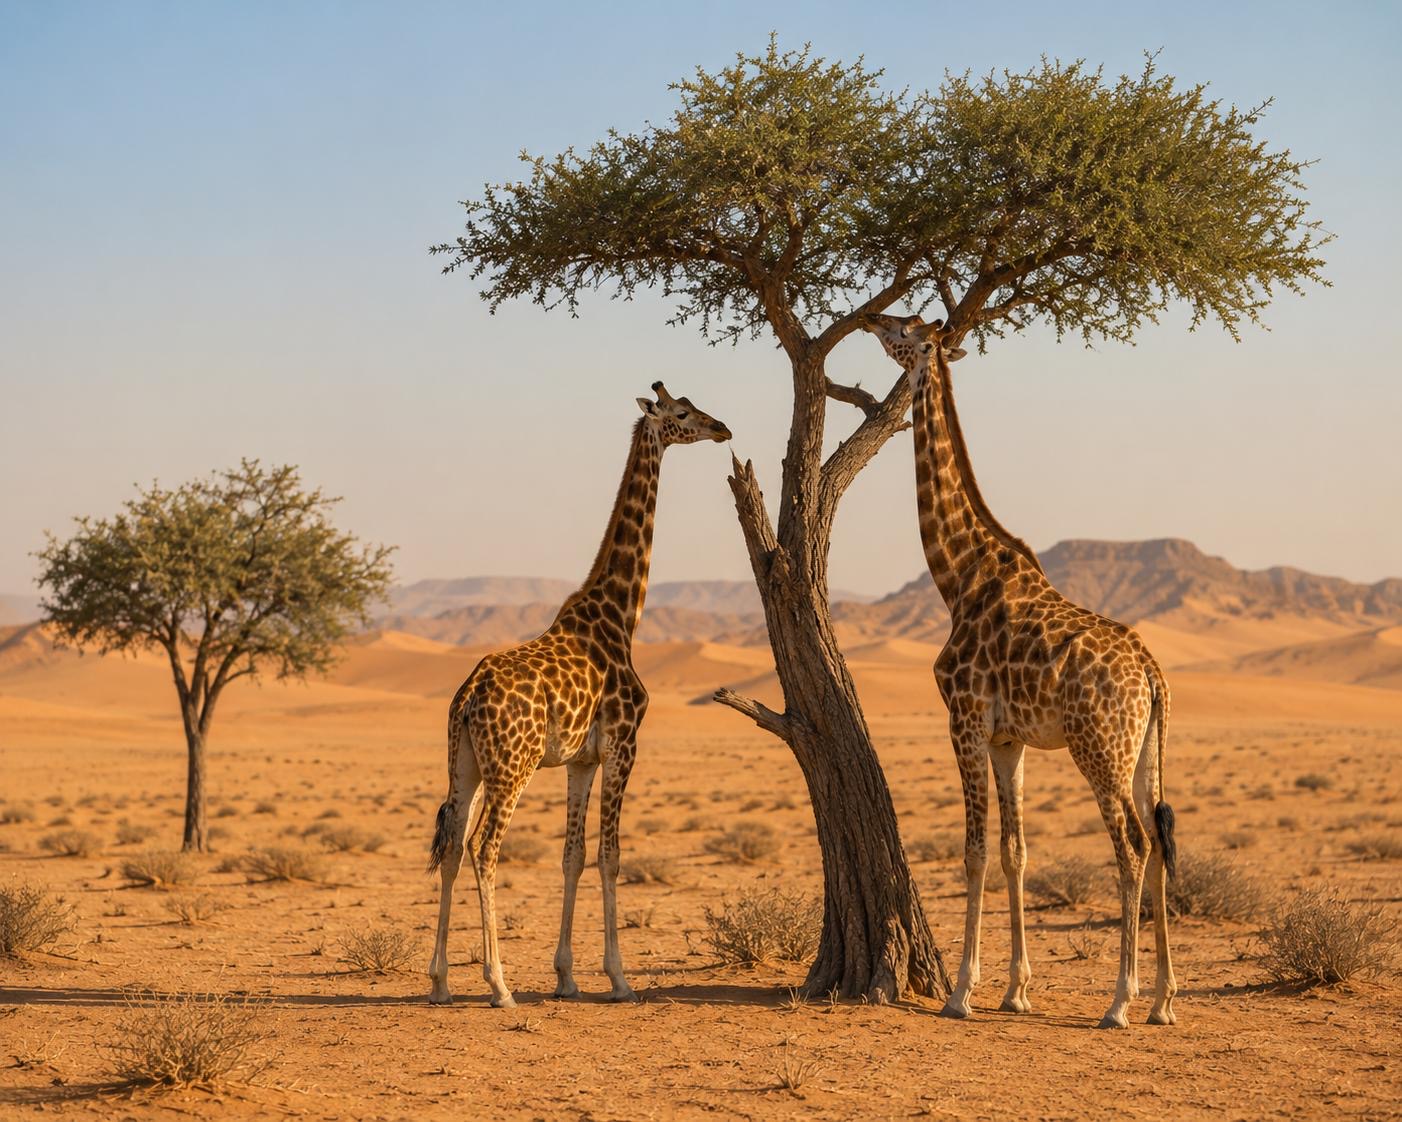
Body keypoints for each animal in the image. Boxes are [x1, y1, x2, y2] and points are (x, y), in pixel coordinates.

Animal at [426, 382, 731, 1008]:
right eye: (683, 412)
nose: (723, 429)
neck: (621, 615)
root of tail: (468, 696)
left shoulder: (580, 761)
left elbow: (574, 856)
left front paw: (566, 975)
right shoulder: (623, 745)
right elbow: (612, 857)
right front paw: (619, 978)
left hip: (463, 763)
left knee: (451, 846)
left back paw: (441, 981)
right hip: (511, 768)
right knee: (484, 849)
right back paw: (499, 985)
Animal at [860, 313, 1177, 1029]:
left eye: (905, 332)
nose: (869, 317)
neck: (957, 575)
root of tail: (1152, 672)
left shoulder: (966, 719)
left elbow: (974, 851)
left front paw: (960, 993)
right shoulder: (1011, 741)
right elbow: (1015, 852)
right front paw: (1015, 989)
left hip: (1099, 749)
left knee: (1134, 846)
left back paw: (1121, 1000)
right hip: (1143, 752)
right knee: (1161, 839)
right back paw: (1164, 1000)